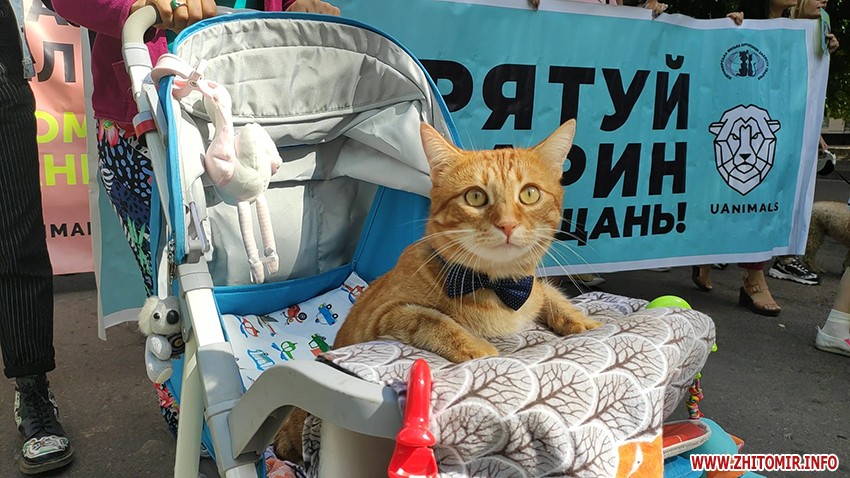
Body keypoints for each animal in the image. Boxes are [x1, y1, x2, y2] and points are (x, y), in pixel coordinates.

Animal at [273, 119, 602, 463]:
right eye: (475, 197)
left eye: (529, 194)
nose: (508, 224)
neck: (495, 287)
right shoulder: (386, 314)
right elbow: (433, 319)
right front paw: (477, 347)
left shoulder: (530, 288)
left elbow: (548, 293)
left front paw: (579, 319)